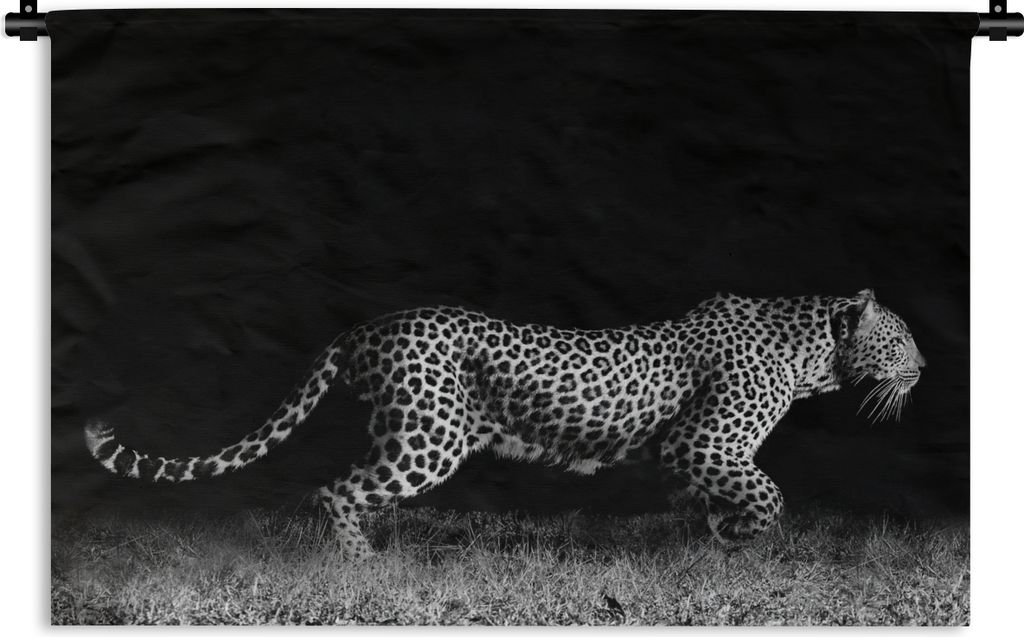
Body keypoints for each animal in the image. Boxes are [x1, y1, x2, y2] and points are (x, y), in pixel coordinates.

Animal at [85, 288, 925, 560]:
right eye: (902, 339)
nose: (924, 367)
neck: (812, 353)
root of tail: (366, 328)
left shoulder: (688, 454)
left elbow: (717, 498)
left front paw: (719, 540)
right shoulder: (704, 441)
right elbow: (768, 493)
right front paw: (747, 538)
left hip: (408, 433)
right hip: (430, 436)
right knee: (334, 488)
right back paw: (364, 564)